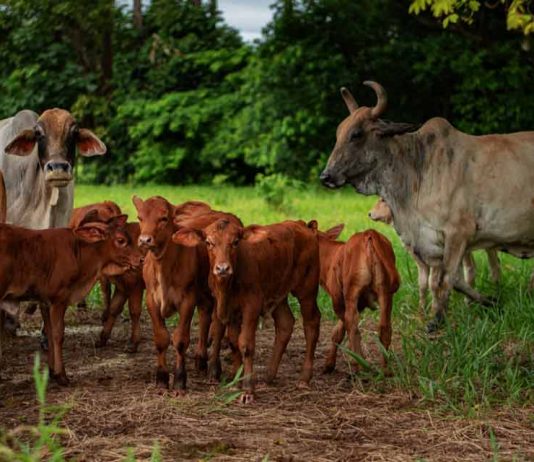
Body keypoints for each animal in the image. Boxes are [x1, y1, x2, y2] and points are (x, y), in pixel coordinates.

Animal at [174, 218, 322, 402]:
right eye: (208, 242)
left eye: (235, 242)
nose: (222, 268)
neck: (227, 287)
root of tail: (302, 225)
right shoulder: (229, 308)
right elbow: (233, 341)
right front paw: (237, 382)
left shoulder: (252, 305)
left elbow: (245, 344)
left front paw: (248, 389)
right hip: (278, 290)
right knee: (285, 322)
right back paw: (268, 376)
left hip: (307, 287)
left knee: (311, 323)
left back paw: (304, 378)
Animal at [314, 222, 402, 374]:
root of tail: (368, 233)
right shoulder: (359, 304)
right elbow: (338, 331)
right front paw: (330, 364)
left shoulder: (338, 300)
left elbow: (341, 330)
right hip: (385, 292)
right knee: (384, 327)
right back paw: (385, 369)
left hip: (352, 290)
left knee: (353, 324)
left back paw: (359, 366)